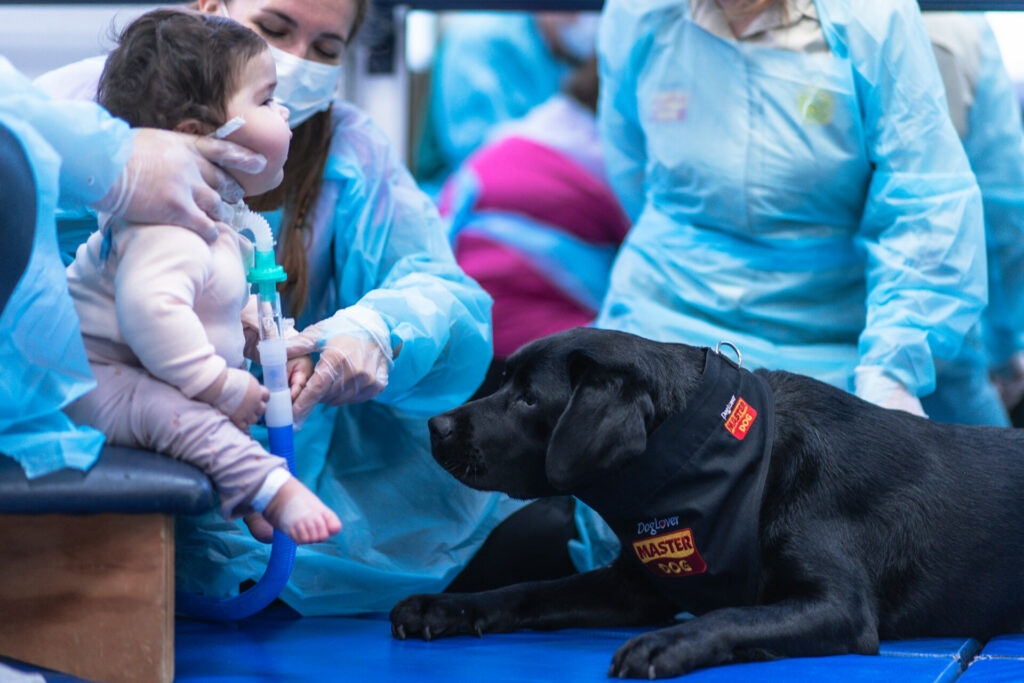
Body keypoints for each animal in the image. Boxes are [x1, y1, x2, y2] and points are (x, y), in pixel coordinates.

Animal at [387, 329, 1024, 679]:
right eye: (501, 382)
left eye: (526, 400)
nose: (436, 426)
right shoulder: (633, 588)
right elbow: (530, 591)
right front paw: (444, 607)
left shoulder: (840, 605)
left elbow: (734, 614)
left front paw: (667, 645)